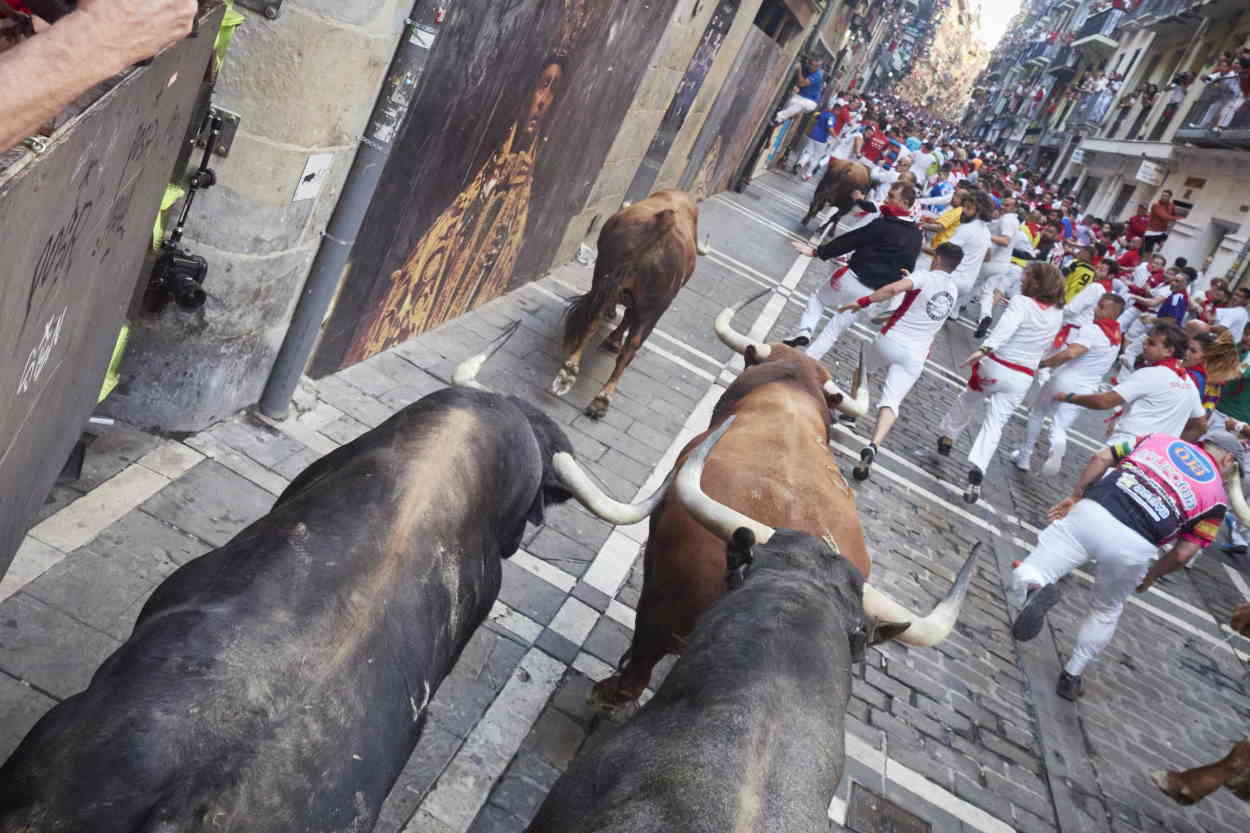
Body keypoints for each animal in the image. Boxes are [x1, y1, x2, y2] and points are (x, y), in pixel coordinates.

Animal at [552, 190, 710, 417]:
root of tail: (664, 222)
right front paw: (613, 339)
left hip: (605, 274)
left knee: (596, 321)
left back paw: (572, 373)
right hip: (652, 308)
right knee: (630, 342)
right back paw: (602, 395)